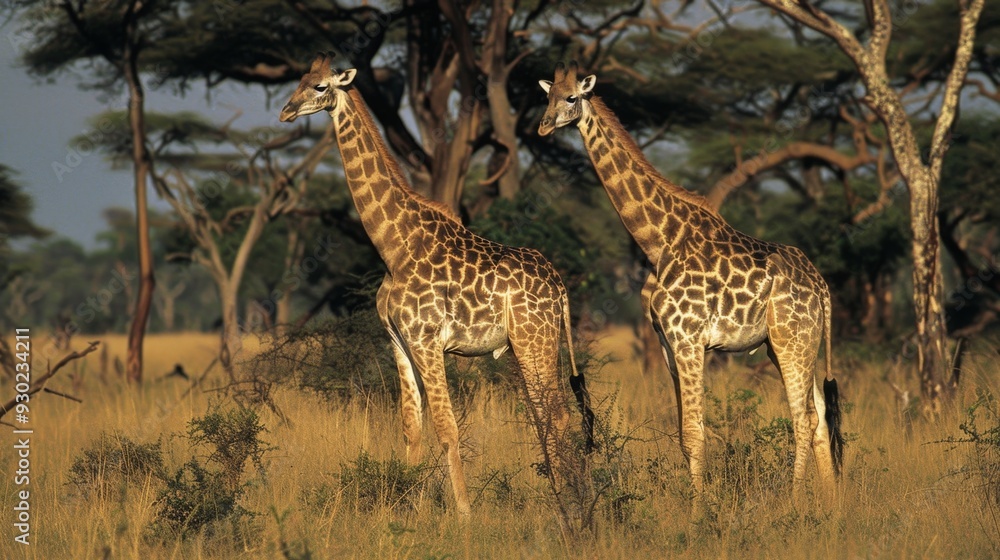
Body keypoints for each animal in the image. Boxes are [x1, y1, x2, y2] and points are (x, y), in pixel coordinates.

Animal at [280, 54, 594, 519]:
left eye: (320, 87)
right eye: (299, 80)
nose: (285, 111)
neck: (393, 247)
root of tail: (560, 288)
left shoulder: (428, 341)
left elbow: (447, 428)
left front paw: (463, 512)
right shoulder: (399, 341)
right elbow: (412, 428)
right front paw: (405, 503)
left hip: (534, 341)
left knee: (556, 414)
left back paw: (571, 502)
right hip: (535, 344)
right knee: (546, 416)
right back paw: (564, 494)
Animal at [538, 62, 843, 507]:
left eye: (572, 97)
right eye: (546, 96)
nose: (543, 126)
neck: (658, 242)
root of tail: (822, 288)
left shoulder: (689, 338)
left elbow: (696, 434)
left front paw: (700, 512)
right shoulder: (668, 342)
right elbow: (684, 435)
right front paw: (695, 504)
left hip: (792, 340)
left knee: (803, 418)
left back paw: (795, 500)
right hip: (793, 343)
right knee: (819, 416)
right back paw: (832, 502)